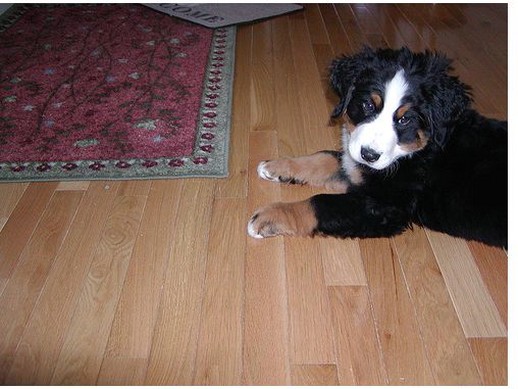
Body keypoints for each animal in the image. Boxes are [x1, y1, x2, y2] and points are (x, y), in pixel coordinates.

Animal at [250, 44, 510, 246]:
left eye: (405, 119)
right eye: (368, 105)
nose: (369, 155)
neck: (419, 151)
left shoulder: (384, 206)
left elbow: (321, 202)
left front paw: (269, 215)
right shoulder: (358, 169)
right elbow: (325, 157)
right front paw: (277, 166)